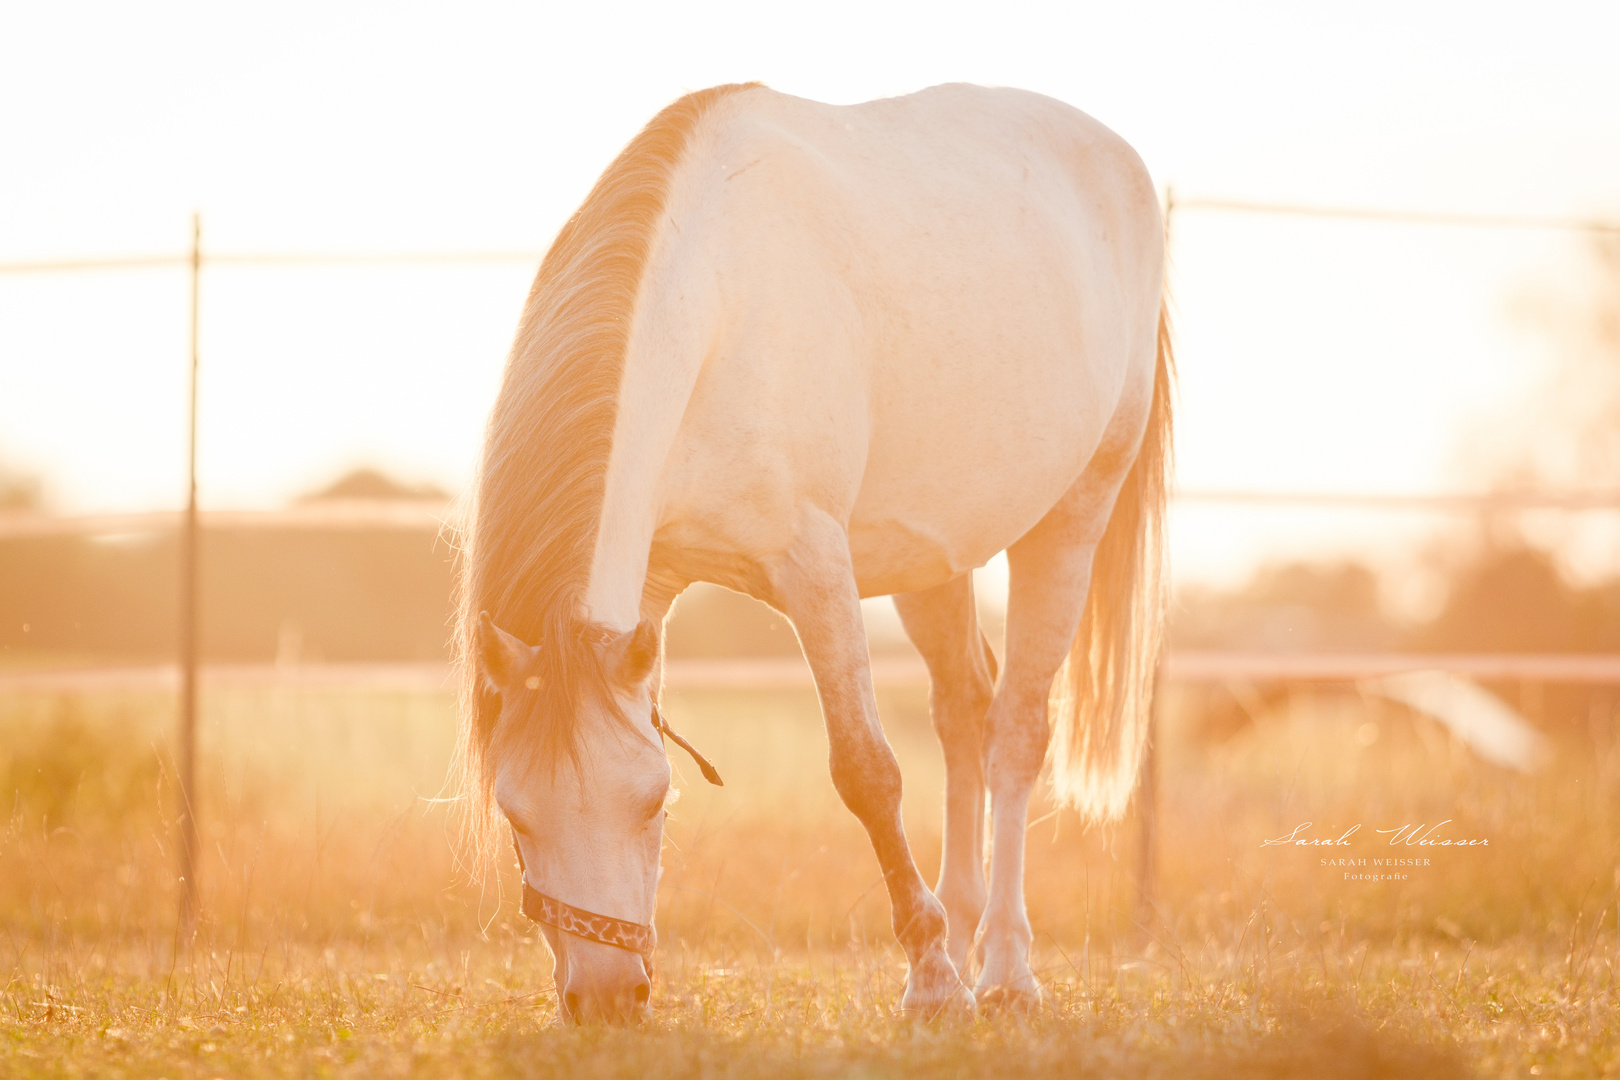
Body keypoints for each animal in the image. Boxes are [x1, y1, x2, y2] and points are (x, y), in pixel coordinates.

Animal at [450, 80, 1172, 1029]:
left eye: (654, 801)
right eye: (516, 816)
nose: (605, 1002)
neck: (716, 317)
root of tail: (1123, 162)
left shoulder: (816, 568)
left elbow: (867, 771)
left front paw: (932, 981)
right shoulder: (649, 592)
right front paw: (936, 955)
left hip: (1072, 519)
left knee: (1017, 732)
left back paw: (1004, 970)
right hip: (933, 559)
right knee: (965, 712)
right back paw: (963, 924)